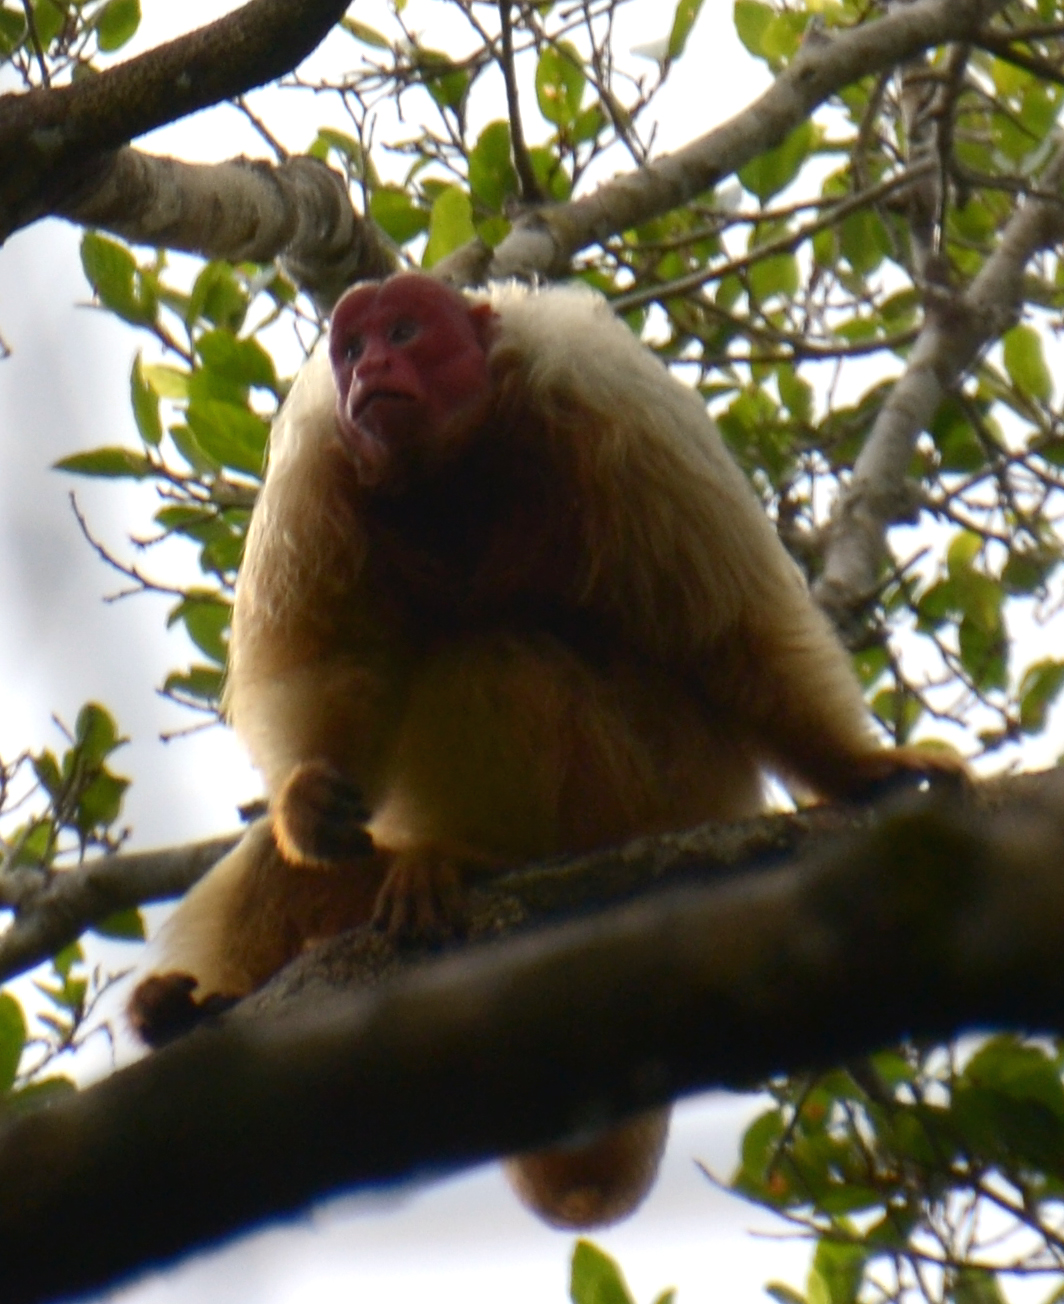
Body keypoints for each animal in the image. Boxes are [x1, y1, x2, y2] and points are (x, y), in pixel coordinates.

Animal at [128, 272, 958, 1228]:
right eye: (351, 349)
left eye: (405, 333)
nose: (370, 368)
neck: (456, 465)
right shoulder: (319, 459)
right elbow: (324, 671)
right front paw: (306, 799)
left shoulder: (613, 403)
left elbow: (738, 635)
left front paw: (861, 771)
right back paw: (189, 1013)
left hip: (657, 794)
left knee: (501, 651)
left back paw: (470, 858)